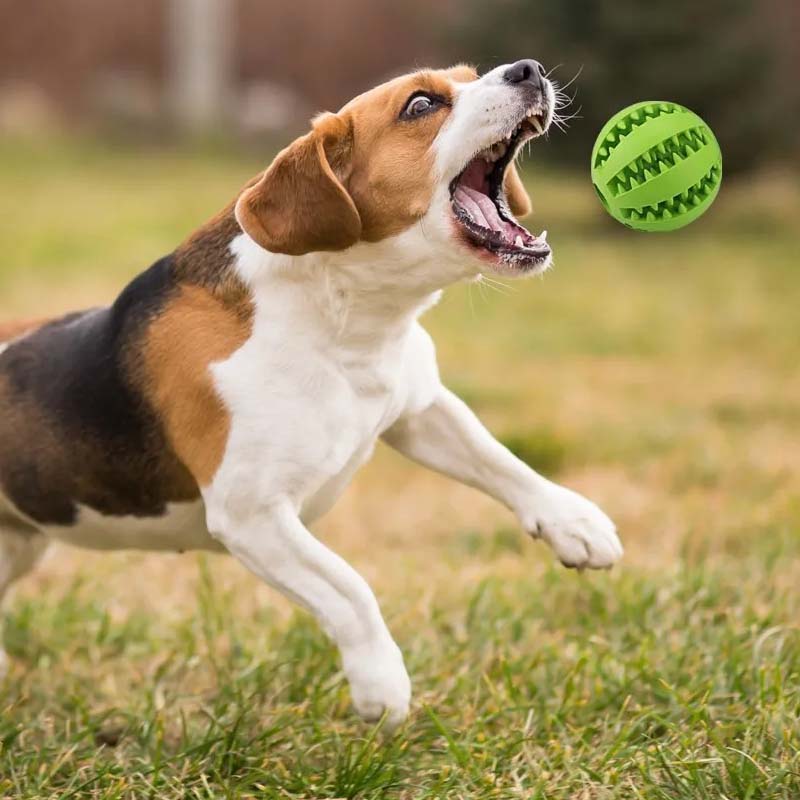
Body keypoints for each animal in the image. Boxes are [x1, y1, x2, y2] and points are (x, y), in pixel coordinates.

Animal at [0, 61, 620, 724]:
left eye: (470, 76)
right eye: (421, 104)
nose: (528, 70)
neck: (345, 320)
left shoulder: (419, 408)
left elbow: (501, 461)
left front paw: (573, 522)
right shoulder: (253, 515)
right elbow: (349, 587)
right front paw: (381, 683)